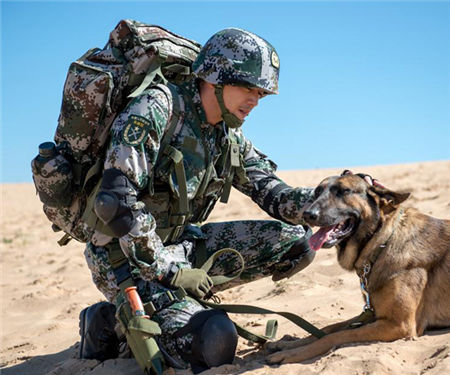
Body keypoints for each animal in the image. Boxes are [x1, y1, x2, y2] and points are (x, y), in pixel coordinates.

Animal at [268, 173, 450, 364]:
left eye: (344, 191)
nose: (308, 214)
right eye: (317, 192)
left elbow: (334, 336)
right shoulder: (373, 314)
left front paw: (292, 354)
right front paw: (287, 345)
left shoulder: (399, 325)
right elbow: (329, 328)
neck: (382, 243)